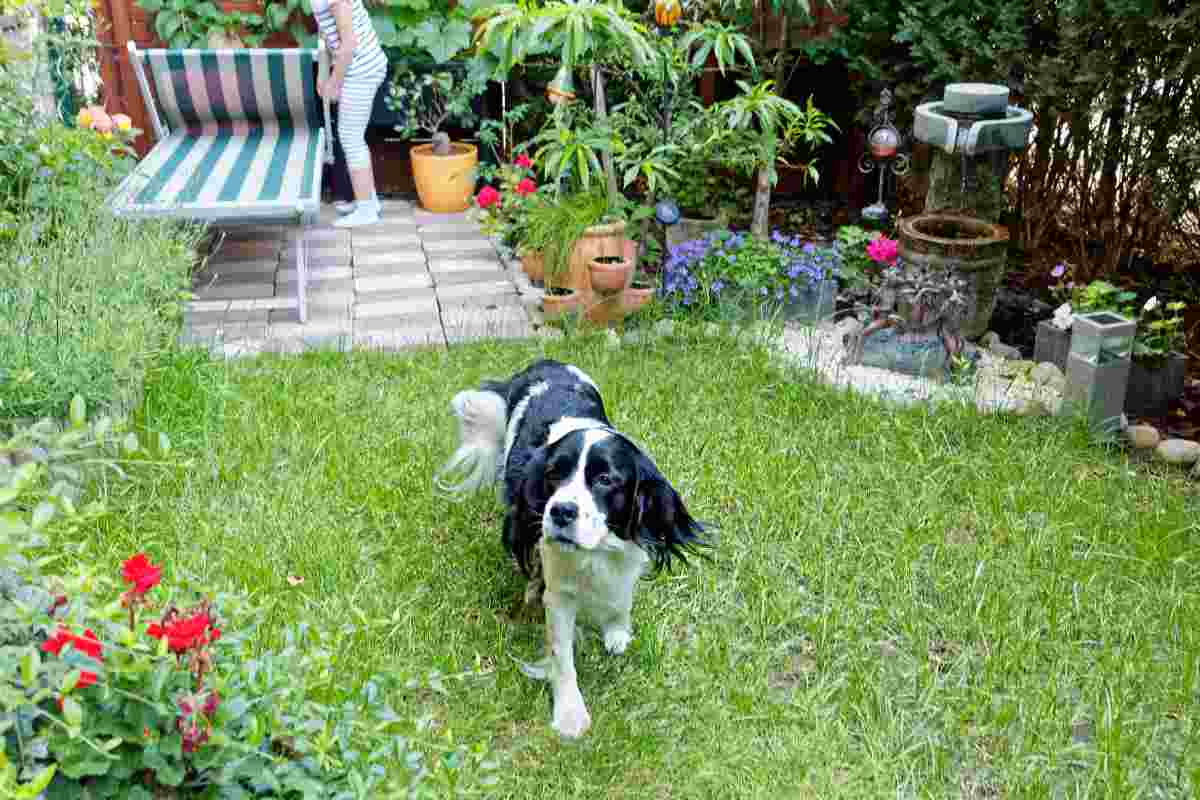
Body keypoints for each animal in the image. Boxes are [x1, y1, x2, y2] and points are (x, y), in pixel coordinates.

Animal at [439, 362, 700, 738]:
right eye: (552, 473)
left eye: (606, 479)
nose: (561, 511)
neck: (596, 550)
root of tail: (543, 363)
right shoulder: (559, 591)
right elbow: (561, 655)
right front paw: (570, 714)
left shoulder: (626, 555)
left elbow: (620, 600)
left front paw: (617, 632)